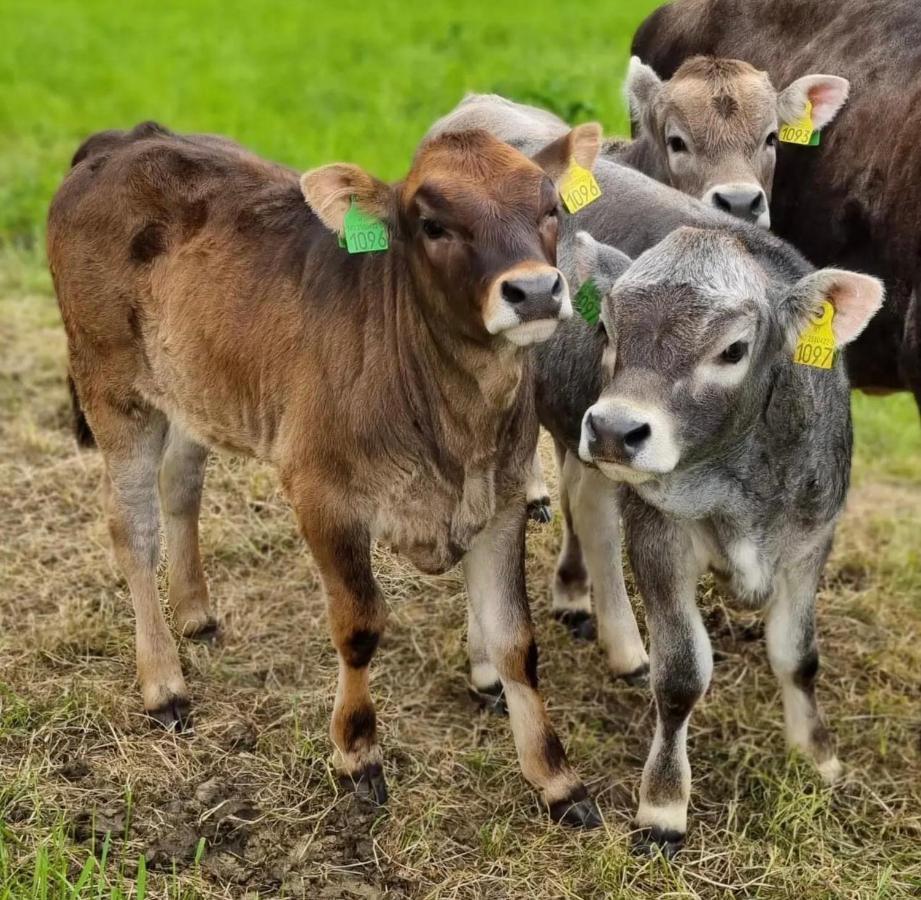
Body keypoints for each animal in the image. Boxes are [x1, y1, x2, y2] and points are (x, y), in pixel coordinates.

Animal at [54, 121, 608, 828]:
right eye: (432, 224)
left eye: (550, 208)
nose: (535, 291)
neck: (455, 419)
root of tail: (124, 138)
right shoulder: (323, 495)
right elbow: (360, 625)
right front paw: (357, 751)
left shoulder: (502, 500)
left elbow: (515, 641)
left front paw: (556, 778)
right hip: (113, 388)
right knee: (132, 527)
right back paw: (163, 682)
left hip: (193, 388)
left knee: (181, 484)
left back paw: (197, 611)